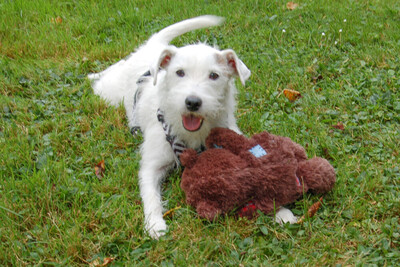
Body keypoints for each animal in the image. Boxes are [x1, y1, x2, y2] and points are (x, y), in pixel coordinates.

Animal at [90, 15, 296, 240]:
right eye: (180, 72)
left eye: (214, 76)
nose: (192, 102)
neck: (192, 134)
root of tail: (154, 46)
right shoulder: (151, 167)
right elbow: (151, 195)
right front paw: (154, 223)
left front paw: (281, 211)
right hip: (109, 92)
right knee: (112, 70)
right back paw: (93, 75)